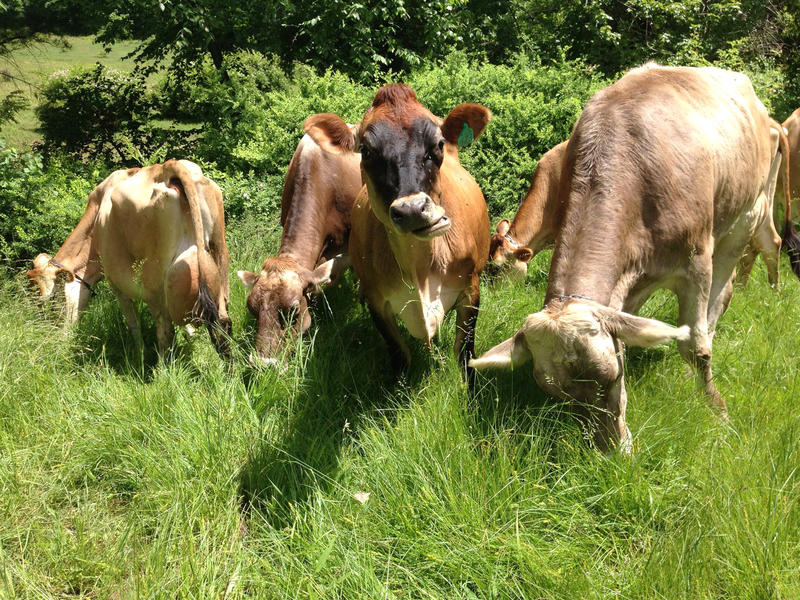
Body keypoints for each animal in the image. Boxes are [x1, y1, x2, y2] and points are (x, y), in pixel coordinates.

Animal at [26, 160, 232, 358]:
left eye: (49, 301)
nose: (51, 339)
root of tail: (168, 167)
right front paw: (191, 336)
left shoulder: (115, 282)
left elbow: (132, 323)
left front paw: (139, 354)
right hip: (219, 253)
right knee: (223, 321)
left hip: (154, 282)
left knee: (165, 331)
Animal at [304, 84, 491, 384]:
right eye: (366, 150)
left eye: (438, 144)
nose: (412, 209)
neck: (419, 267)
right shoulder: (376, 301)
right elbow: (399, 354)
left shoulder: (471, 288)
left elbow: (465, 351)